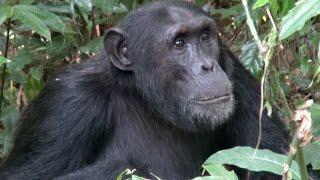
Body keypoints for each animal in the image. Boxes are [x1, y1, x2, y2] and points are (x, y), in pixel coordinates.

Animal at [0, 0, 290, 179]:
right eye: (179, 43)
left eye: (205, 36)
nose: (207, 66)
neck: (144, 97)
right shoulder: (65, 106)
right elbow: (24, 175)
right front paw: (137, 171)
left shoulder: (232, 67)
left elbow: (274, 154)